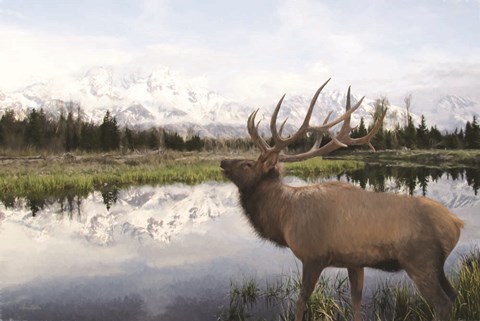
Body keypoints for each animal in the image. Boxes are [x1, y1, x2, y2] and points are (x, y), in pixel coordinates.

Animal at [219, 78, 464, 320]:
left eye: (247, 164)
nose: (222, 161)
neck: (283, 217)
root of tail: (456, 223)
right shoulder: (354, 262)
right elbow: (356, 302)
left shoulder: (313, 256)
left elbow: (301, 302)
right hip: (437, 266)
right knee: (454, 295)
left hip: (420, 260)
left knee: (442, 303)